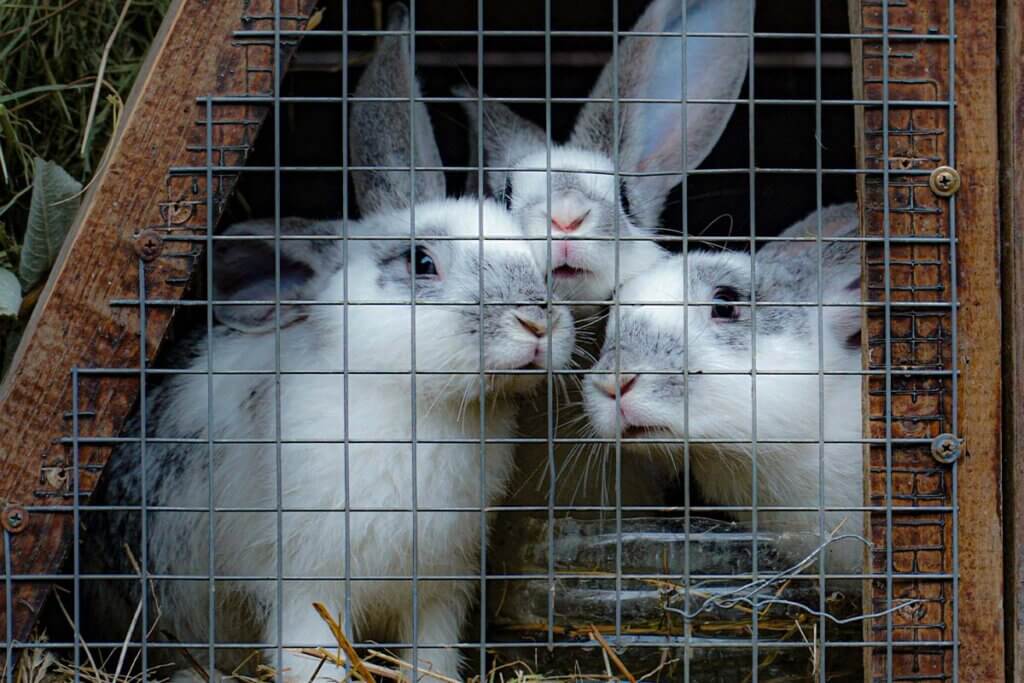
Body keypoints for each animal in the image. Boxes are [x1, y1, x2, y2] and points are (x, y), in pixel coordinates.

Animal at [79, 6, 577, 683]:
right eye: (421, 262)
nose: (537, 322)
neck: (420, 406)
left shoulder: (438, 591)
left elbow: (432, 660)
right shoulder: (305, 589)